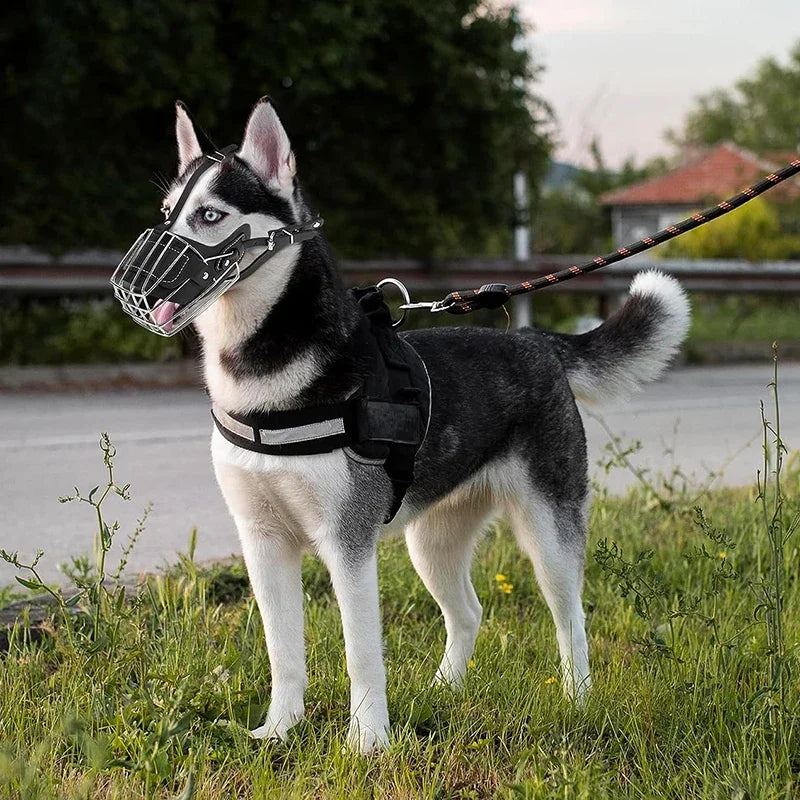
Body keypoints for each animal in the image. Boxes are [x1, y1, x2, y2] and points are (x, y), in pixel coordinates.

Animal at [156, 98, 688, 752]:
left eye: (210, 216)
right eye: (167, 213)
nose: (151, 281)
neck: (264, 381)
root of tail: (536, 341)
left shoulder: (348, 544)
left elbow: (362, 655)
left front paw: (367, 742)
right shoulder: (262, 542)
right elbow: (283, 652)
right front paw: (280, 730)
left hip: (549, 537)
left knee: (571, 619)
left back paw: (578, 701)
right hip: (430, 541)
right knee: (470, 613)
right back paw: (445, 691)